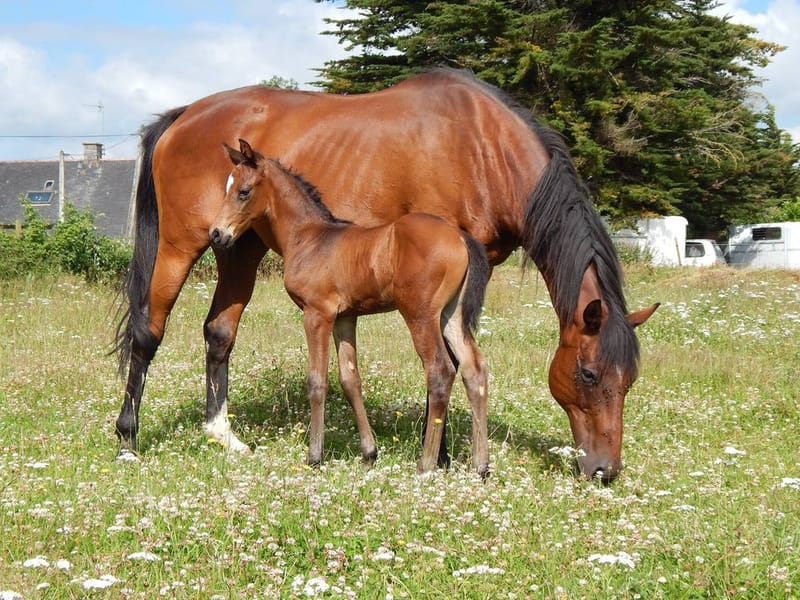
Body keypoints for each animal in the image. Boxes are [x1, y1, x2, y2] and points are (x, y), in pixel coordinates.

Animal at [209, 138, 490, 476]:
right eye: (226, 189)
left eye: (244, 191)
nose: (216, 234)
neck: (309, 239)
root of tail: (460, 238)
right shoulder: (345, 318)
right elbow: (350, 380)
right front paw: (369, 452)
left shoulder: (317, 314)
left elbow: (317, 381)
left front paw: (314, 455)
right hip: (451, 315)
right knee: (475, 369)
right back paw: (481, 465)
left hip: (421, 315)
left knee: (440, 370)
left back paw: (426, 464)